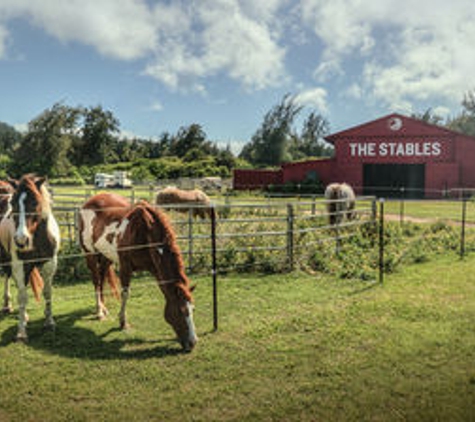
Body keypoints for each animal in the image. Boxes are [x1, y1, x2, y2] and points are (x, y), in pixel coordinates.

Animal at [0, 175, 60, 342]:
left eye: (35, 202)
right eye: (13, 203)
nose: (21, 240)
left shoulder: (50, 263)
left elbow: (47, 292)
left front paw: (49, 322)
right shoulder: (20, 264)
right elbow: (22, 297)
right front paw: (21, 332)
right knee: (9, 278)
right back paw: (8, 305)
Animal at [79, 193, 198, 352]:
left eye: (193, 309)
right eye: (180, 311)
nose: (193, 343)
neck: (145, 234)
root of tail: (89, 202)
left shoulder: (154, 268)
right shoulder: (125, 266)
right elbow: (125, 293)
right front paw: (123, 322)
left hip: (106, 256)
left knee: (102, 276)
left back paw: (103, 308)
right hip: (90, 253)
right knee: (96, 280)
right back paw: (99, 311)